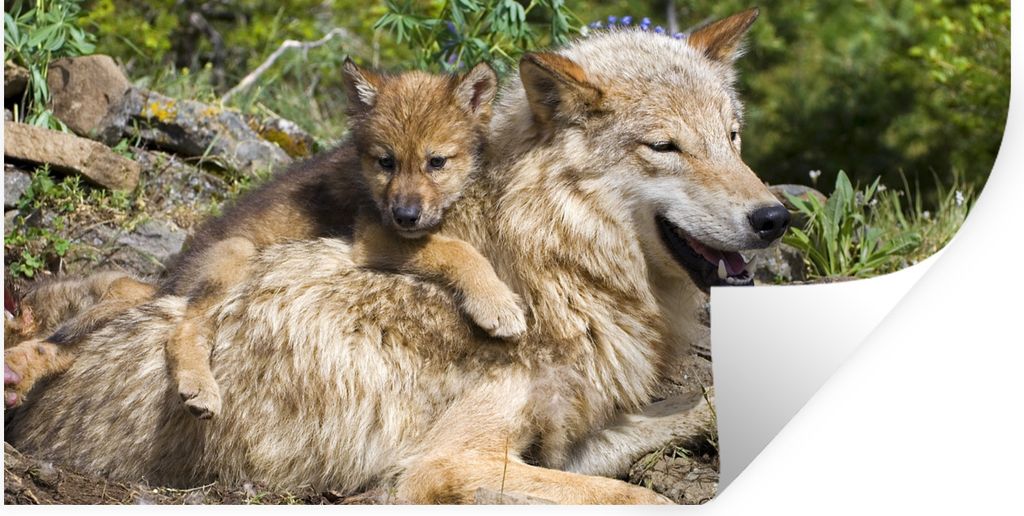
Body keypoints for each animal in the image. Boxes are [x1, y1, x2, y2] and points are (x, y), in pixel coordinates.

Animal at [3, 60, 526, 416]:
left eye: (436, 162)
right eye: (386, 161)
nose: (406, 214)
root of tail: (170, 279)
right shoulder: (373, 235)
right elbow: (457, 249)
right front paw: (497, 304)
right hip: (236, 255)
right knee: (180, 330)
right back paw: (201, 389)